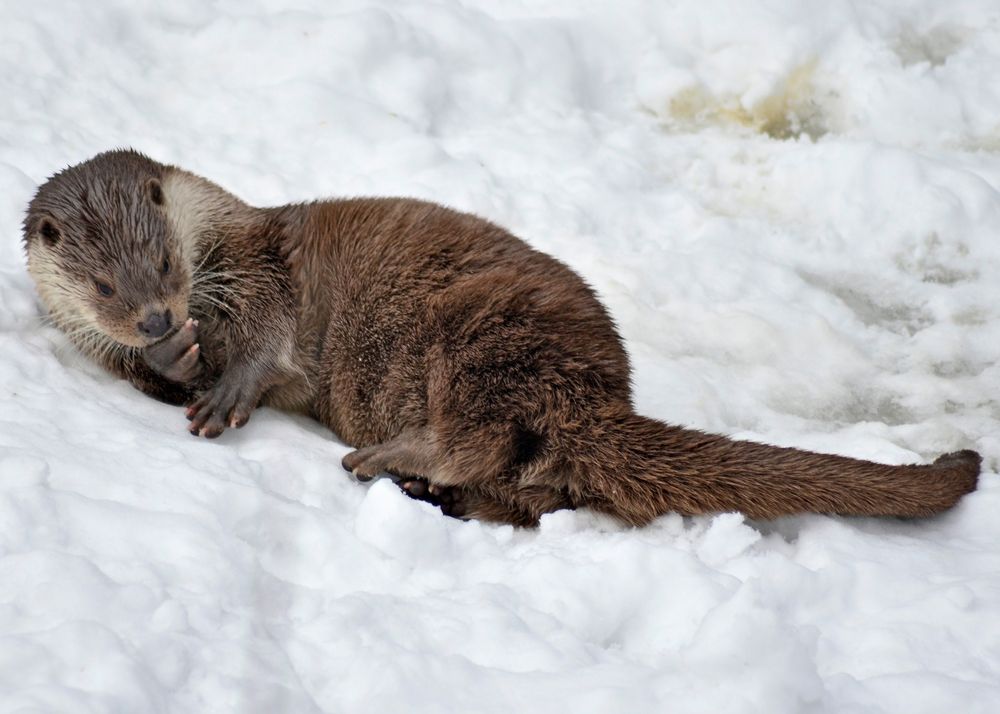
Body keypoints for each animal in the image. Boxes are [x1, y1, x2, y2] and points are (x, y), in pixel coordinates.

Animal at [19, 149, 980, 524]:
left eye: (163, 262)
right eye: (104, 287)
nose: (157, 317)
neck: (212, 237)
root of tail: (597, 393)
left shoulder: (258, 266)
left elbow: (268, 337)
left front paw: (218, 385)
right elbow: (141, 375)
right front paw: (169, 356)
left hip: (476, 327)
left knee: (476, 434)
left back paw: (387, 460)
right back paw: (430, 491)